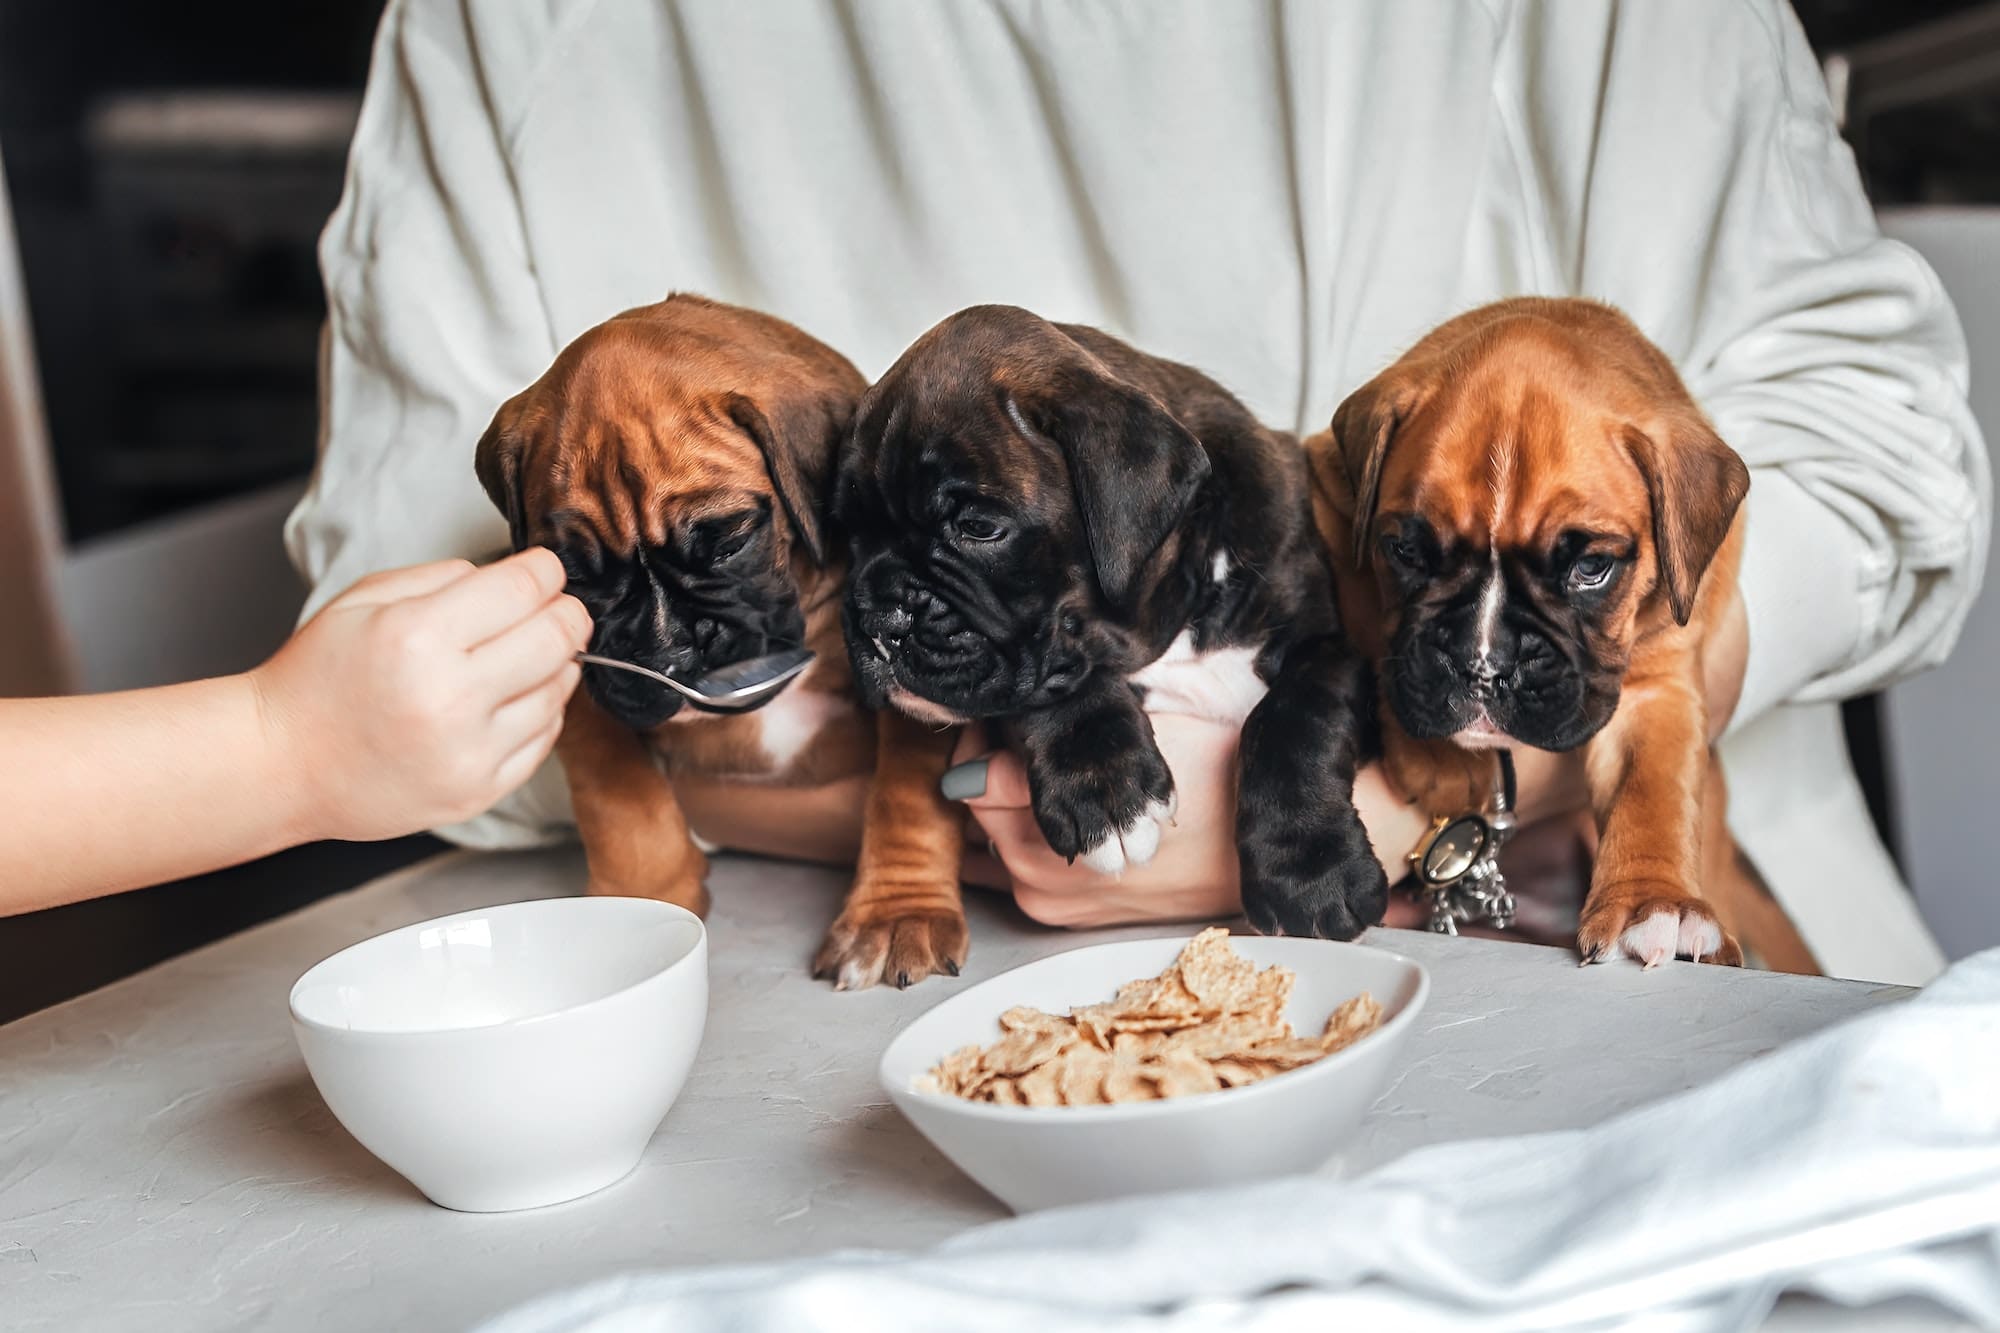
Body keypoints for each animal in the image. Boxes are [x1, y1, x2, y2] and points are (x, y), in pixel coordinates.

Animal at [828, 300, 1392, 944]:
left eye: (978, 528)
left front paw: (1310, 873)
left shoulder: (1329, 649)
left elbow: (1294, 717)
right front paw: (1105, 790)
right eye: (848, 532)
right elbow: (1057, 689)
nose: (879, 615)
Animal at [1312, 298, 1800, 964]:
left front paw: (1657, 903)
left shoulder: (1657, 682)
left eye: (1590, 568)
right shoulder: (1331, 497)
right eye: (1405, 551)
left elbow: (1653, 785)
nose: (1482, 667)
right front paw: (1443, 760)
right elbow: (1372, 615)